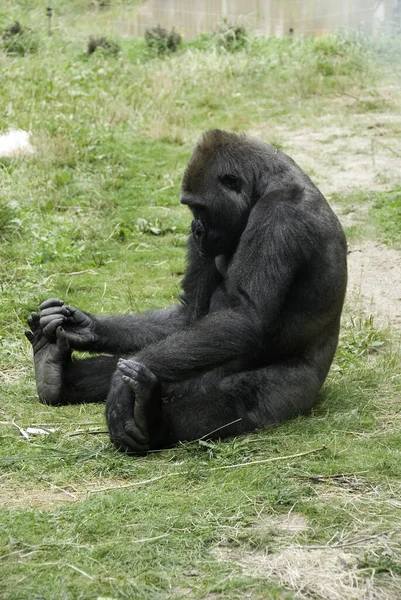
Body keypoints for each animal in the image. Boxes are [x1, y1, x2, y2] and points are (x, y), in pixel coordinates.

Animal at [26, 130, 346, 450]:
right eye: (190, 207)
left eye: (199, 207)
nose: (196, 229)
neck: (265, 184)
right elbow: (191, 312)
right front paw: (86, 327)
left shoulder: (280, 215)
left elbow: (245, 318)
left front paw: (120, 391)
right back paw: (53, 371)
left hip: (299, 388)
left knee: (236, 398)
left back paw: (152, 422)